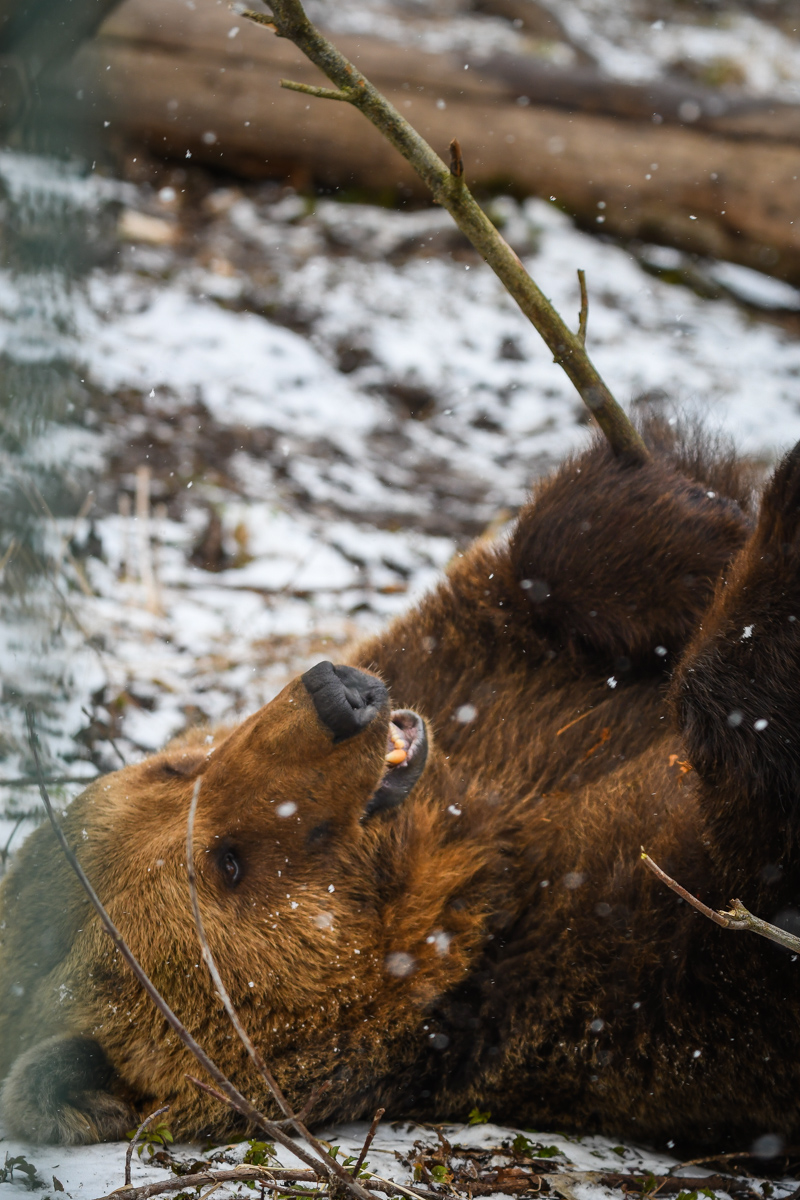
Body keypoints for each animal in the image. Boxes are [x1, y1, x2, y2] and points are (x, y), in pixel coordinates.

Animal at [1, 422, 800, 1152]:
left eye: (176, 768)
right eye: (228, 864)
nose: (333, 694)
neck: (463, 846)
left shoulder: (479, 689)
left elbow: (534, 586)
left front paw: (680, 504)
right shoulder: (602, 975)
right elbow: (744, 888)